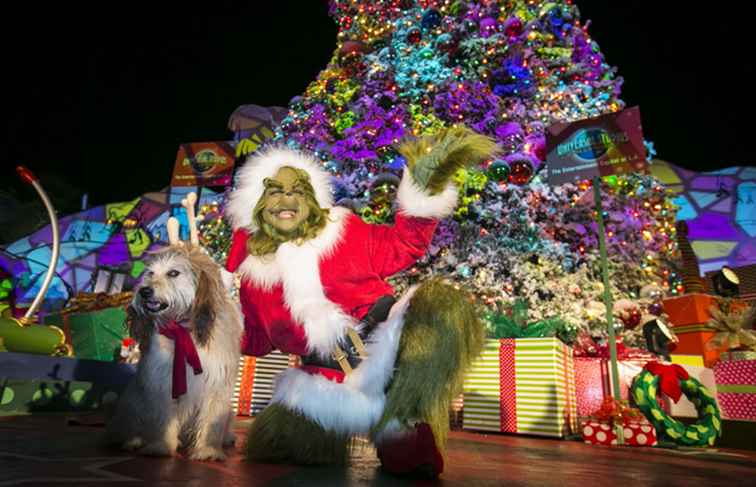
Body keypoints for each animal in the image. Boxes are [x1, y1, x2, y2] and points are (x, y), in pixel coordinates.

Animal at [106, 246, 241, 464]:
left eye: (173, 273)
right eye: (151, 273)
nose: (144, 291)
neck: (184, 329)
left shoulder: (217, 385)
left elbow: (212, 421)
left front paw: (208, 449)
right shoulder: (161, 381)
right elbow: (163, 418)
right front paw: (160, 446)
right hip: (132, 403)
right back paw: (133, 440)